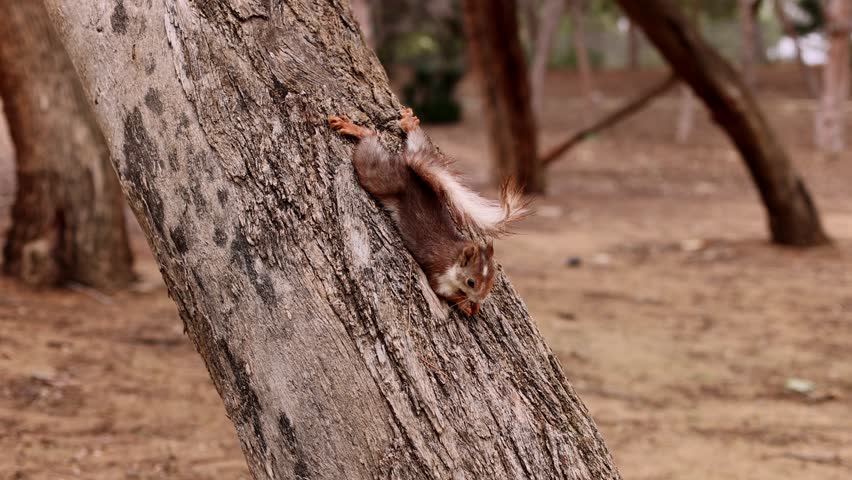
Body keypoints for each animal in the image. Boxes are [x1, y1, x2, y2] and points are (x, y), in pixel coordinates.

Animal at [329, 108, 527, 316]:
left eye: (491, 282)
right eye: (471, 282)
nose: (479, 299)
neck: (455, 258)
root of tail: (407, 167)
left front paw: (476, 306)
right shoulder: (440, 275)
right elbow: (443, 292)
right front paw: (465, 304)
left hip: (420, 152)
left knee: (418, 142)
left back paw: (409, 123)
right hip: (380, 177)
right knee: (370, 145)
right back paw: (355, 129)